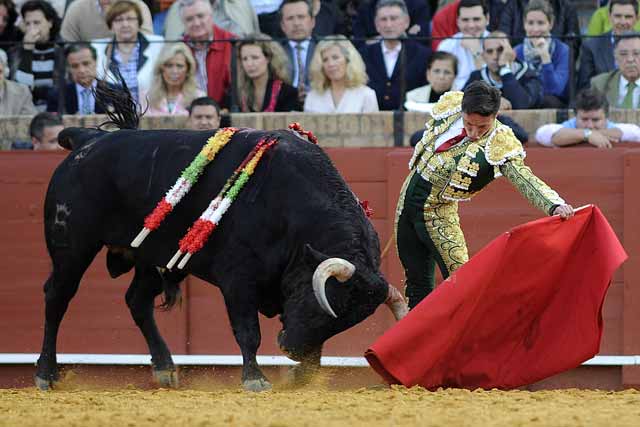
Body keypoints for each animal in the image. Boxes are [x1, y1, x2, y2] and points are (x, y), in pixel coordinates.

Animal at [36, 126, 404, 392]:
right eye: (323, 304)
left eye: (343, 321)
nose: (290, 349)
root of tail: (89, 139)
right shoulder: (238, 279)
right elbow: (248, 332)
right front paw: (255, 379)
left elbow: (315, 349)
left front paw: (301, 377)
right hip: (72, 245)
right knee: (57, 297)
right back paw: (46, 374)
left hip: (154, 256)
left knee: (137, 300)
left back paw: (166, 369)